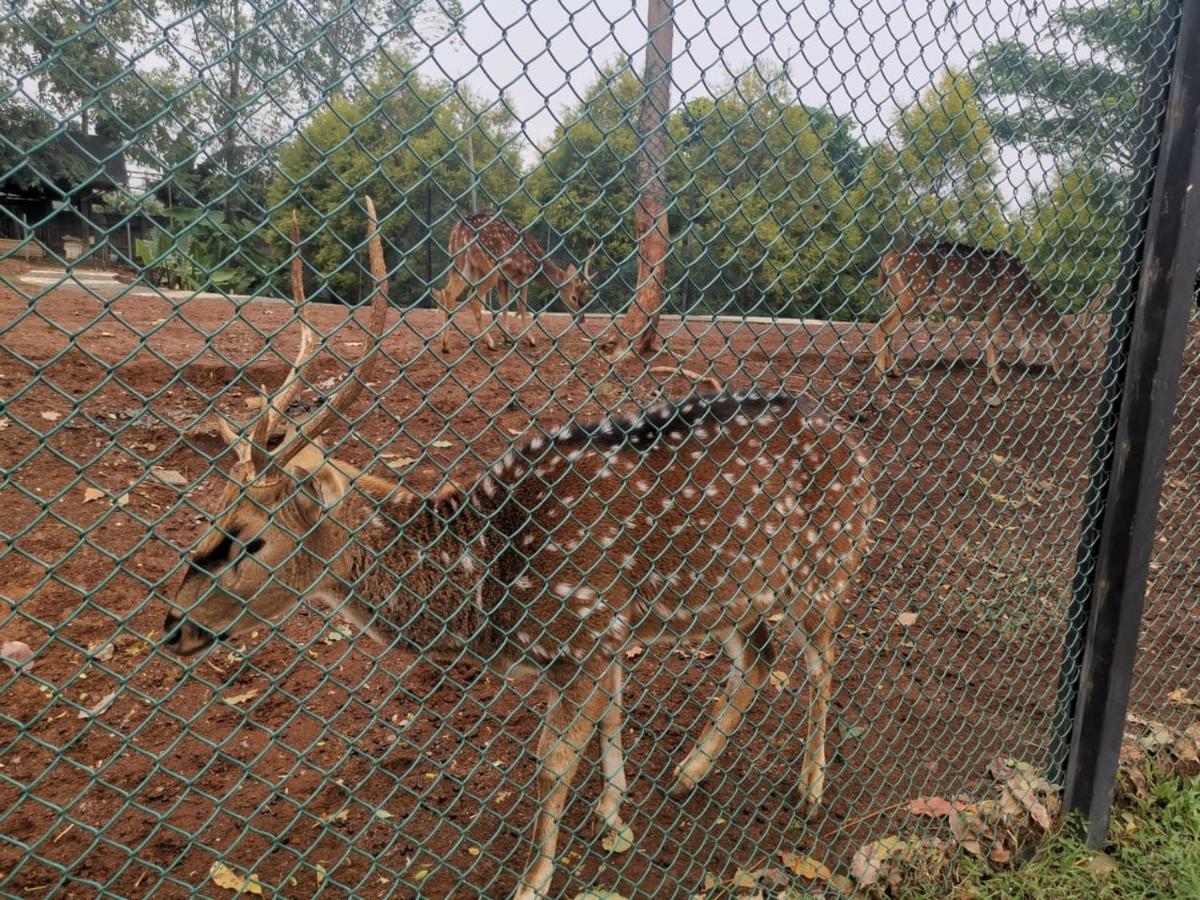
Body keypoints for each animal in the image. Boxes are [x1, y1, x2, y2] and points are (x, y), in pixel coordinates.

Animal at [434, 211, 597, 352]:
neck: (536, 261)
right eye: (573, 297)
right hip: (489, 265)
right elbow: (522, 306)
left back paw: (445, 345)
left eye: (585, 296)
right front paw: (530, 339)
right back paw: (489, 342)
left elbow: (504, 305)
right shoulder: (522, 274)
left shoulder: (503, 279)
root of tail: (460, 228)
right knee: (473, 297)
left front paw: (507, 337)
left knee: (448, 293)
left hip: (461, 263)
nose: (582, 318)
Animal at [868, 237, 1075, 386]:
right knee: (882, 326)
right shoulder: (996, 306)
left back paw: (895, 372)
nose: (1069, 377)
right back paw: (880, 376)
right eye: (1073, 352)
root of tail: (885, 260)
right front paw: (997, 380)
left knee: (891, 331)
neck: (1024, 303)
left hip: (902, 298)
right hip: (911, 294)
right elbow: (993, 343)